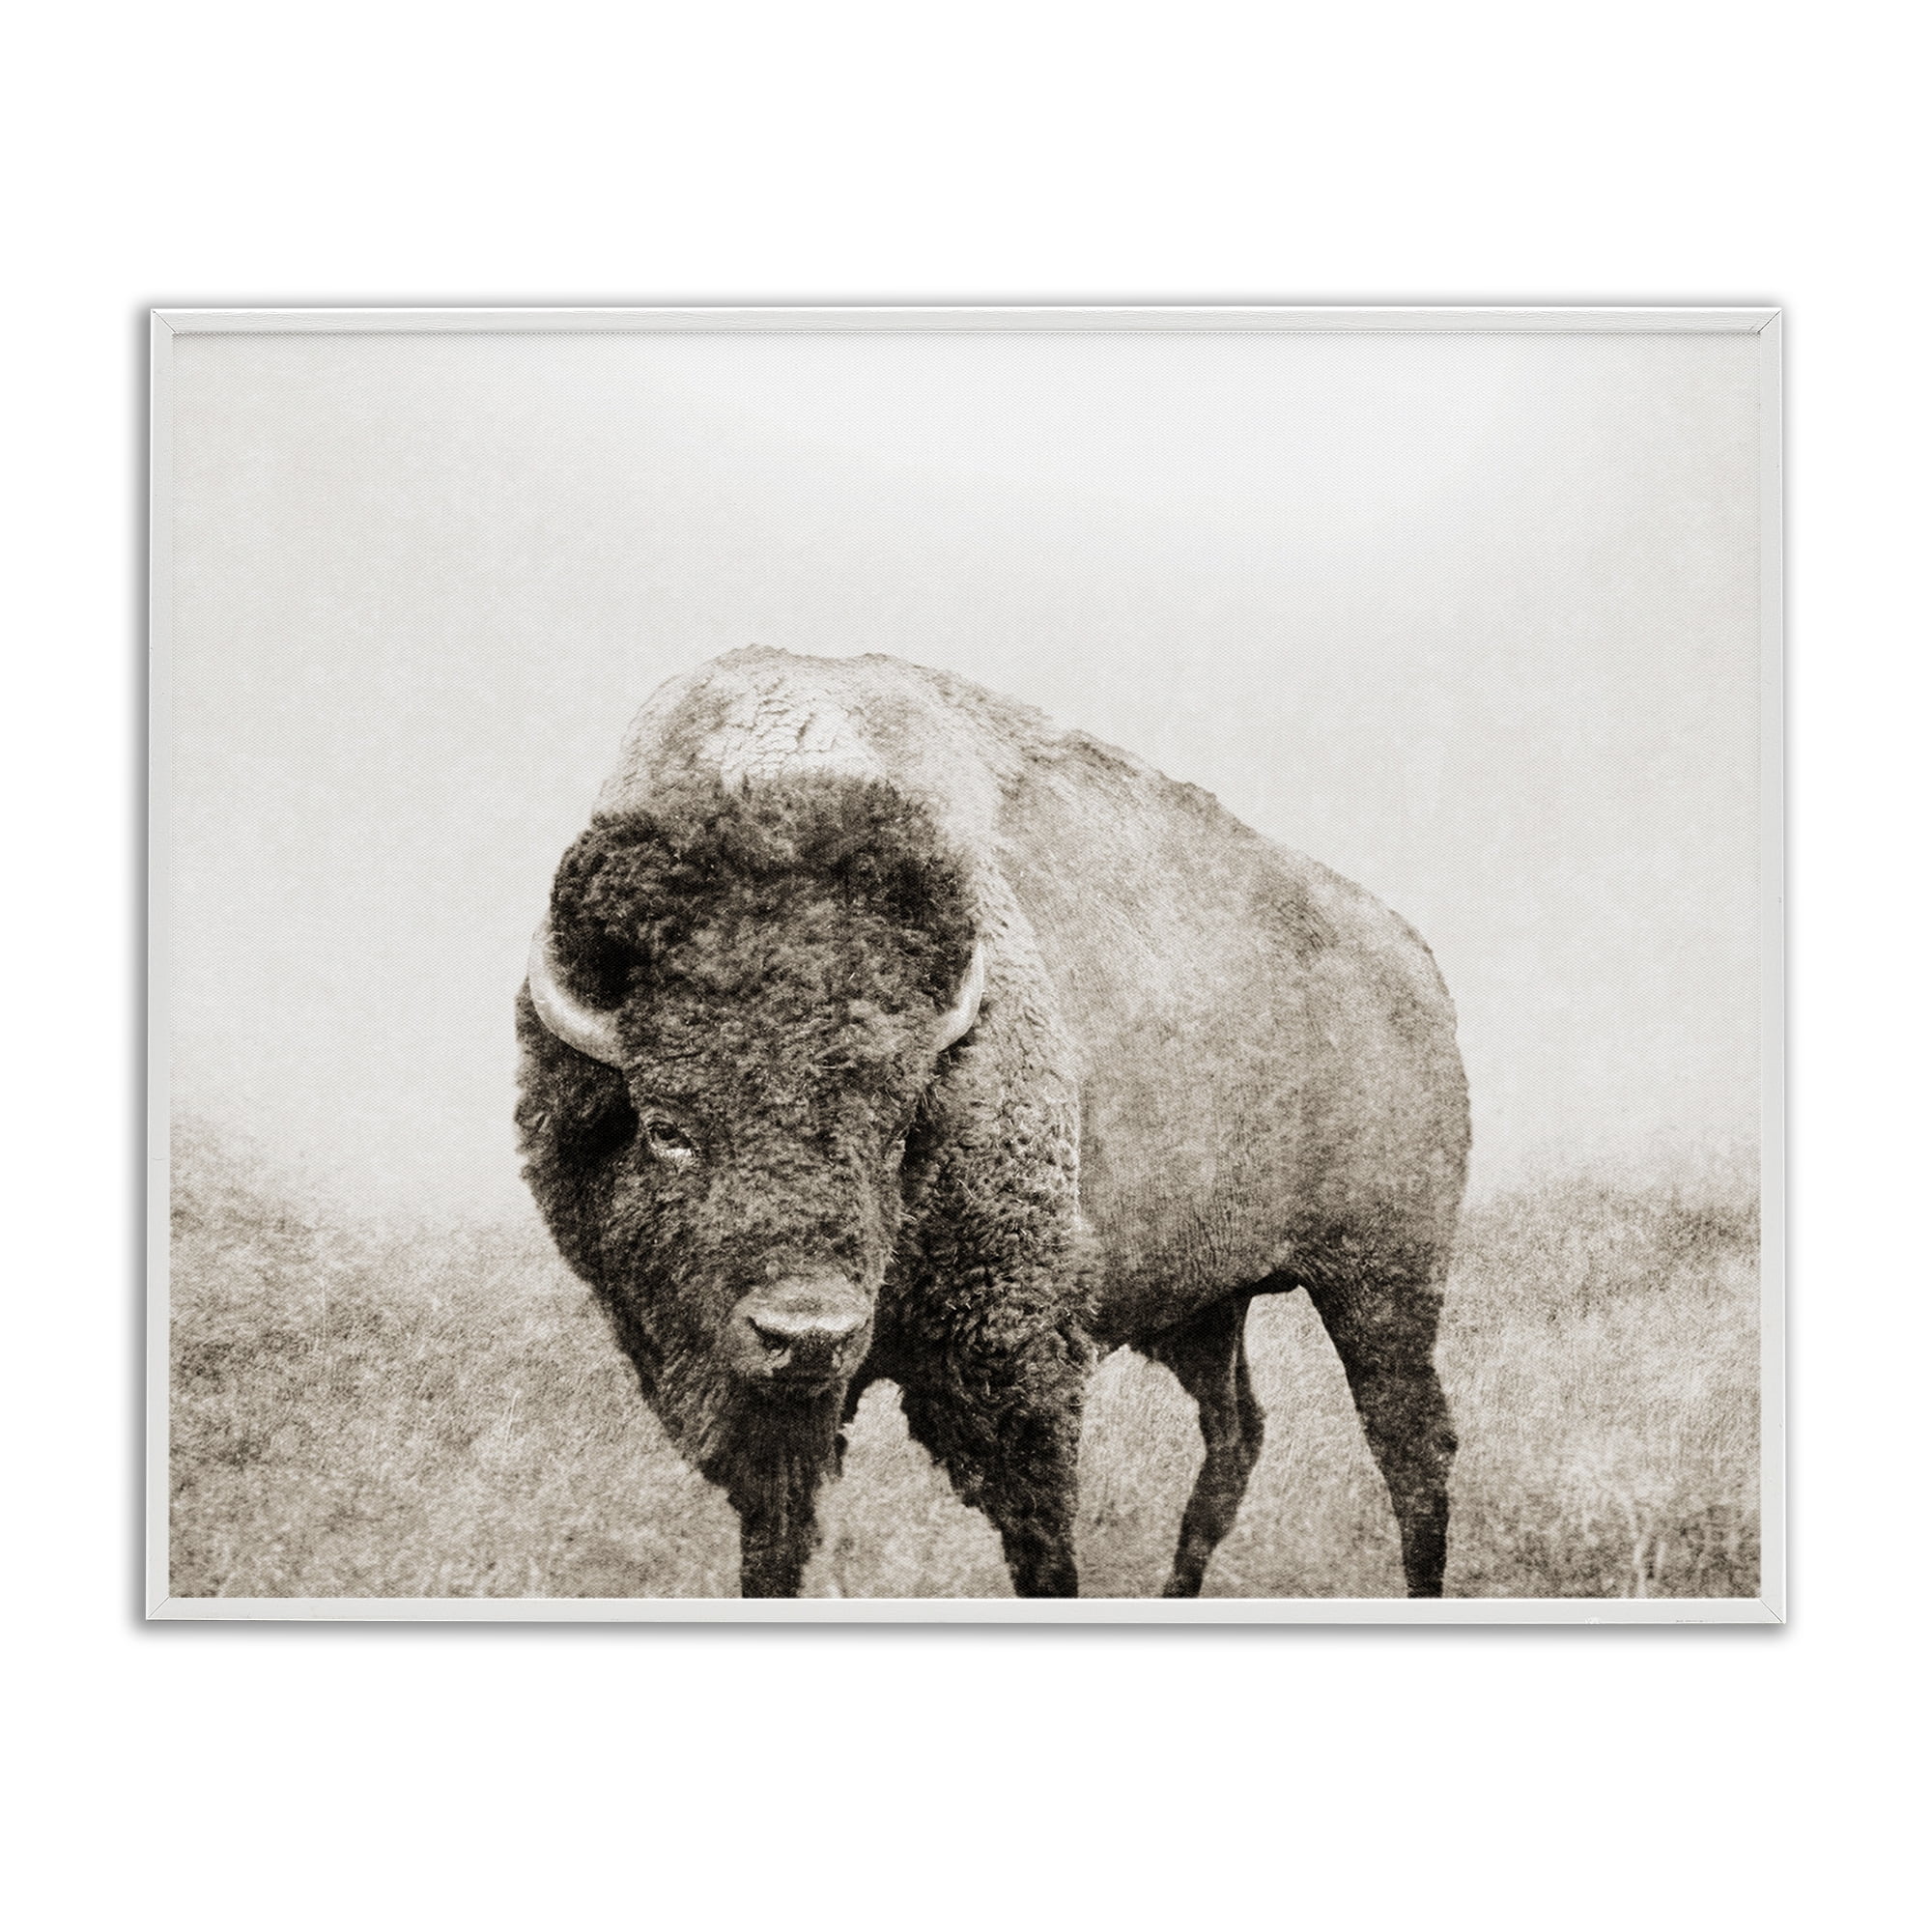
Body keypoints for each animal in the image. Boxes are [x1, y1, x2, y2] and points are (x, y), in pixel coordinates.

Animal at [516, 648, 1468, 1598]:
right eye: (666, 1128)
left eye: (899, 1129)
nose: (808, 1333)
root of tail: (1415, 960)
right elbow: (775, 1541)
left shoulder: (1015, 1354)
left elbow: (1041, 1539)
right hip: (1211, 1305)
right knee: (1236, 1434)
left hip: (1382, 1281)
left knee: (1413, 1446)